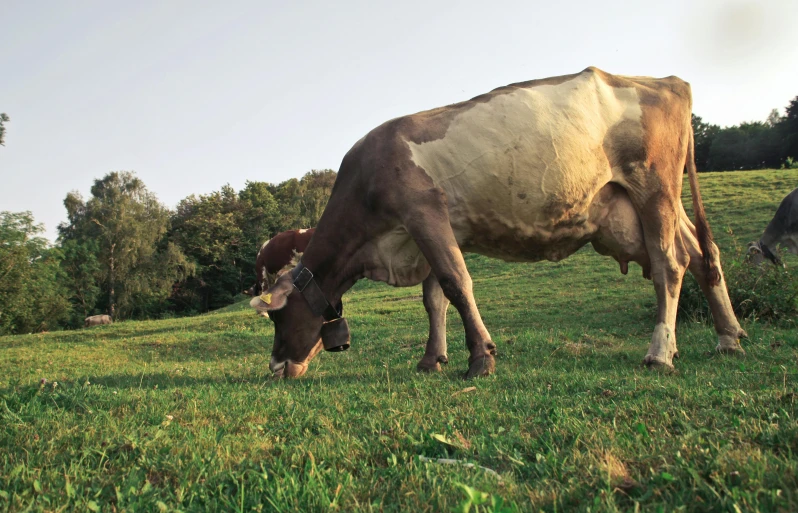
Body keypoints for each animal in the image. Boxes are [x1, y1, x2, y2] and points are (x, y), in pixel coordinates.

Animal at [252, 67, 752, 380]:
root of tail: (667, 81)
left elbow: (456, 284)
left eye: (278, 318)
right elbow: (434, 299)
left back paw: (660, 352)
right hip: (646, 206)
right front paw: (432, 359)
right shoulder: (432, 228)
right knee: (703, 254)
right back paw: (728, 337)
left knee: (670, 264)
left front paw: (481, 359)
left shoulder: (422, 211)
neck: (379, 251)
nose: (275, 368)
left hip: (654, 186)